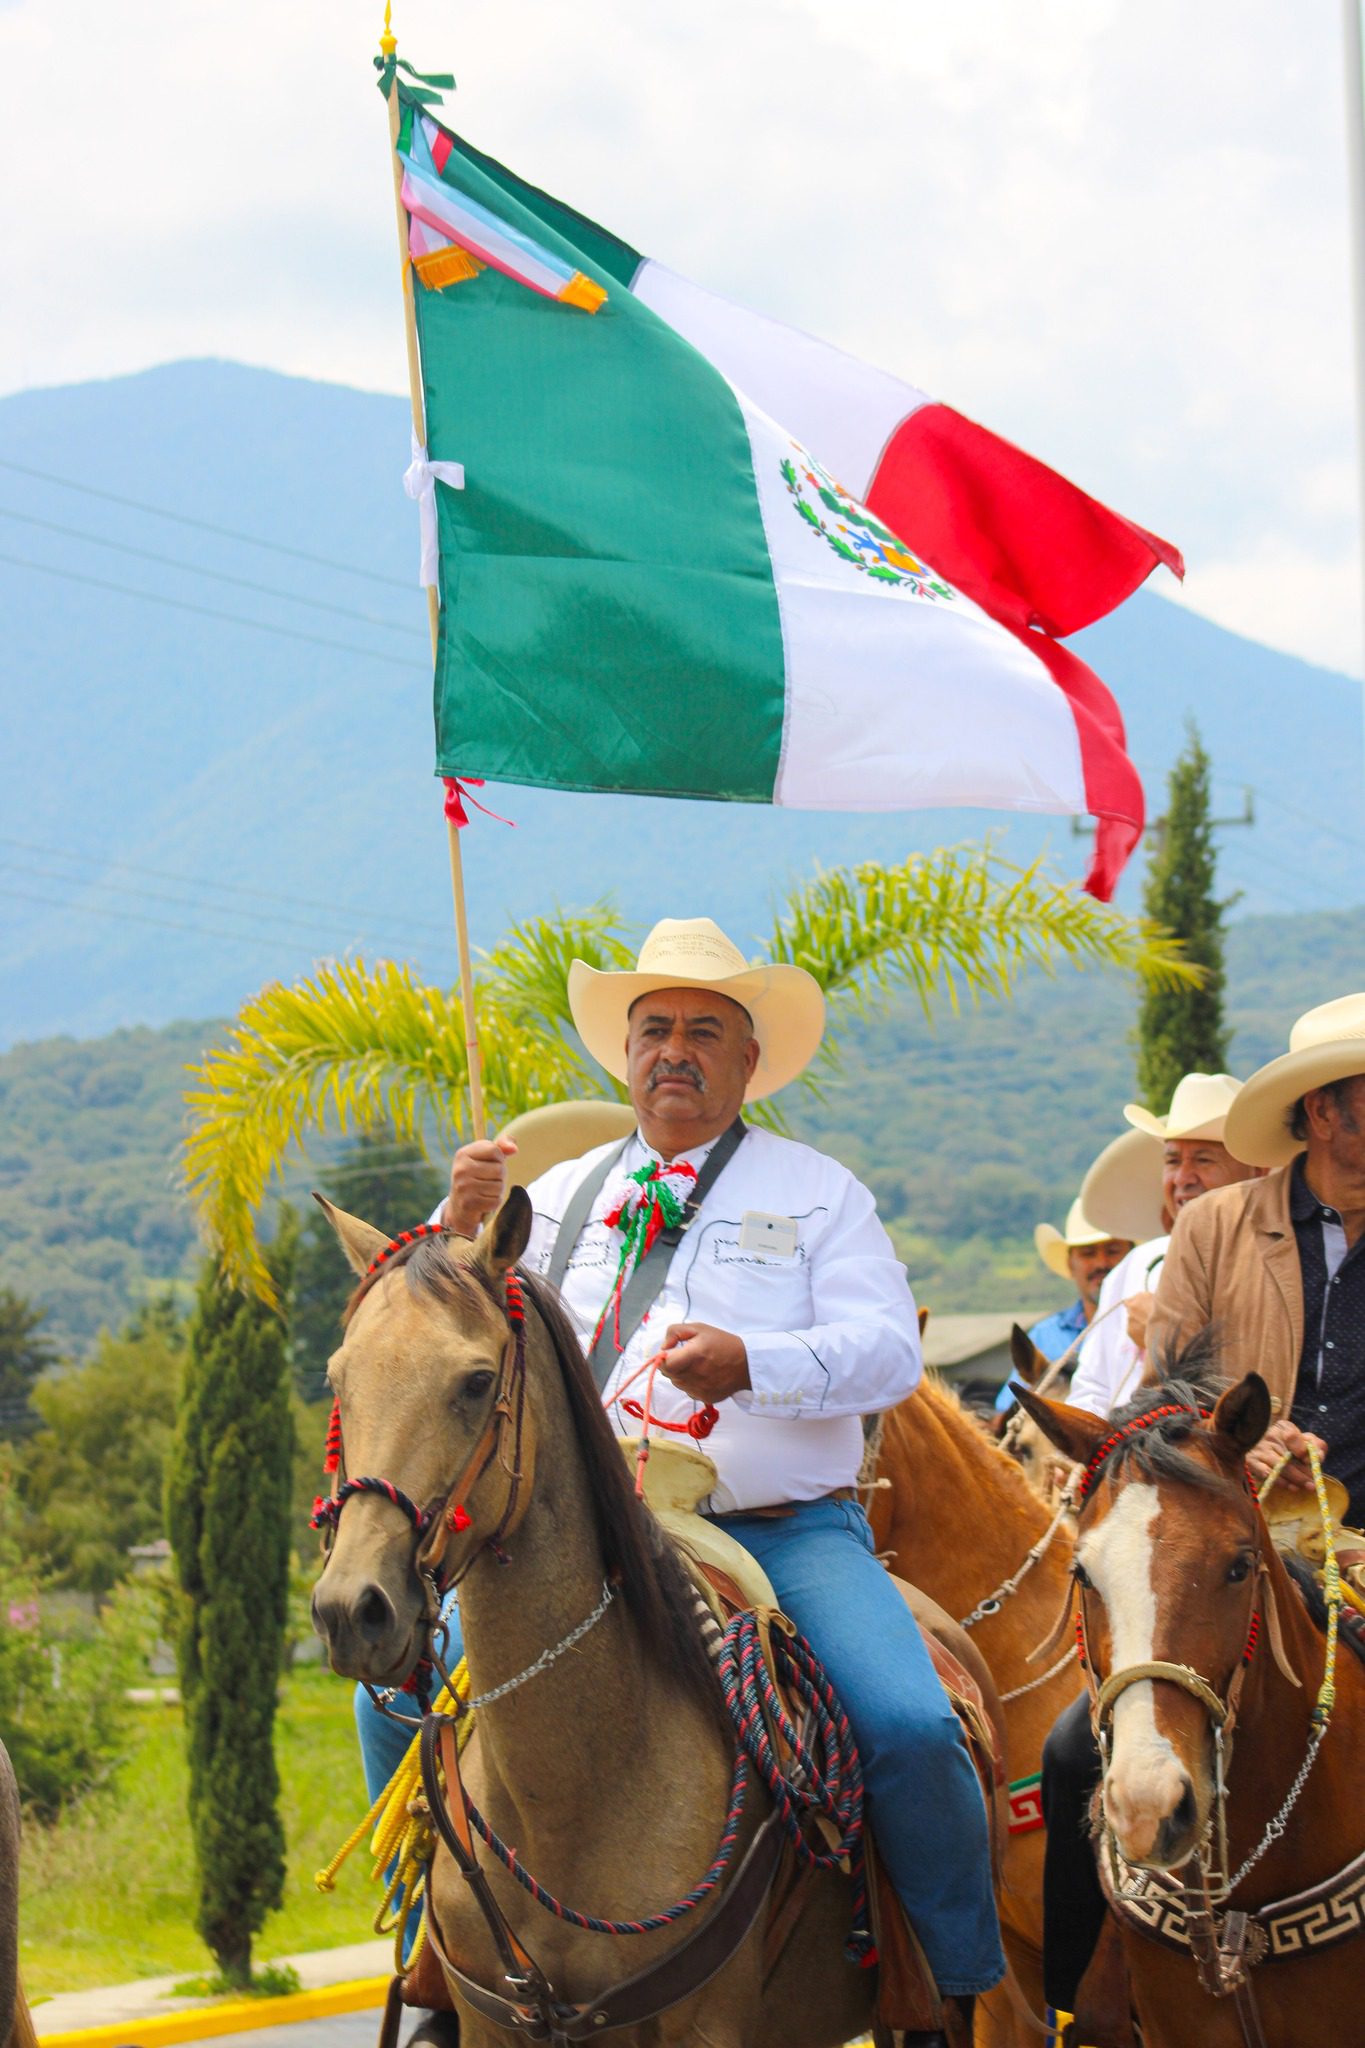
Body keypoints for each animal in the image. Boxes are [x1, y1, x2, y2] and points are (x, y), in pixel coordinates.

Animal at [315, 1196, 900, 2048]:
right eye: (338, 1378)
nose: (351, 1609)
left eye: (476, 1382)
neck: (568, 1799)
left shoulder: (706, 2025)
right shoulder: (490, 2020)